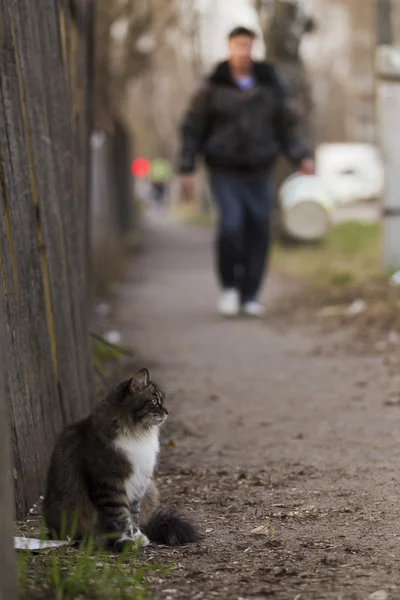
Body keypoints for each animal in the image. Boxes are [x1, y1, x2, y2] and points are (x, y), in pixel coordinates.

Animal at [43, 368, 200, 552]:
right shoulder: (109, 483)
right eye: (155, 401)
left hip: (150, 489)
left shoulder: (139, 482)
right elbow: (119, 517)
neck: (138, 434)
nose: (167, 412)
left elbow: (133, 515)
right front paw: (125, 541)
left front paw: (137, 536)